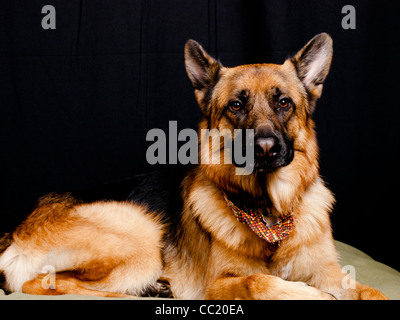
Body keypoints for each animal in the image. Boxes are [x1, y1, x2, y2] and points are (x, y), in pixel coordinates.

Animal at [0, 34, 388, 300]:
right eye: (236, 106)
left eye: (283, 103)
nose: (265, 149)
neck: (269, 214)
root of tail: (18, 228)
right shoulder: (220, 285)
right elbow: (258, 280)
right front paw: (311, 295)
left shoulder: (332, 271)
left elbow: (371, 290)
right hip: (140, 229)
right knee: (45, 283)